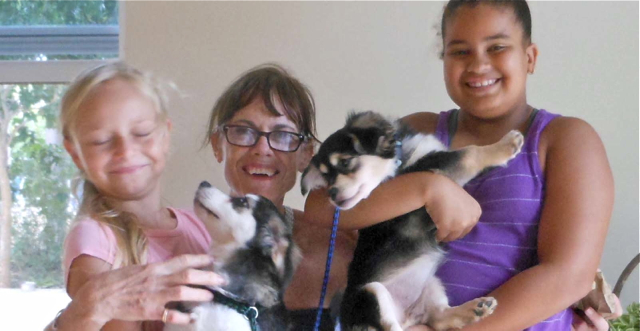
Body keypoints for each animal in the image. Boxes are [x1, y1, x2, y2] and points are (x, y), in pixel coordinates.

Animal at [302, 112, 524, 331]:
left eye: (345, 162)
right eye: (327, 178)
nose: (331, 193)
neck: (399, 162)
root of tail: (406, 316)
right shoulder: (433, 167)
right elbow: (469, 153)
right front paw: (506, 144)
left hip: (432, 285)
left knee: (439, 318)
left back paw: (476, 308)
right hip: (372, 292)